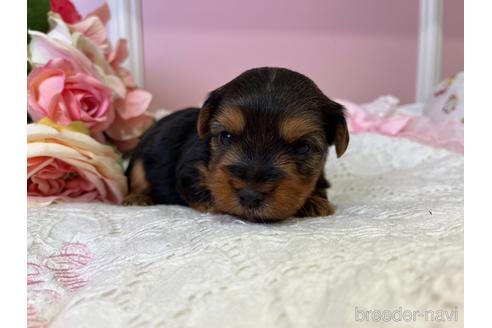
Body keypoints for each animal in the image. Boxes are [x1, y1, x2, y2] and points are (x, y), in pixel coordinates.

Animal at [125, 67, 348, 222]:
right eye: (227, 136)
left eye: (302, 147)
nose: (250, 196)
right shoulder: (190, 170)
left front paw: (315, 201)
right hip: (139, 163)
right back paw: (137, 197)